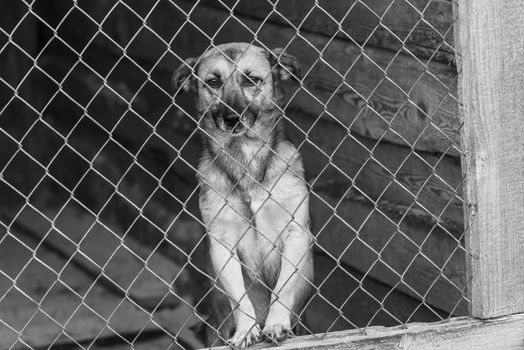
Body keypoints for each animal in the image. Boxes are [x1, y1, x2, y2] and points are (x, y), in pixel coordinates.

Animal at [172, 42, 314, 348]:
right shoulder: (222, 243)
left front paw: (276, 323)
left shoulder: (296, 232)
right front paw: (248, 329)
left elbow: (283, 288)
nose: (232, 118)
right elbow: (240, 298)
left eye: (252, 80)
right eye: (213, 82)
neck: (245, 159)